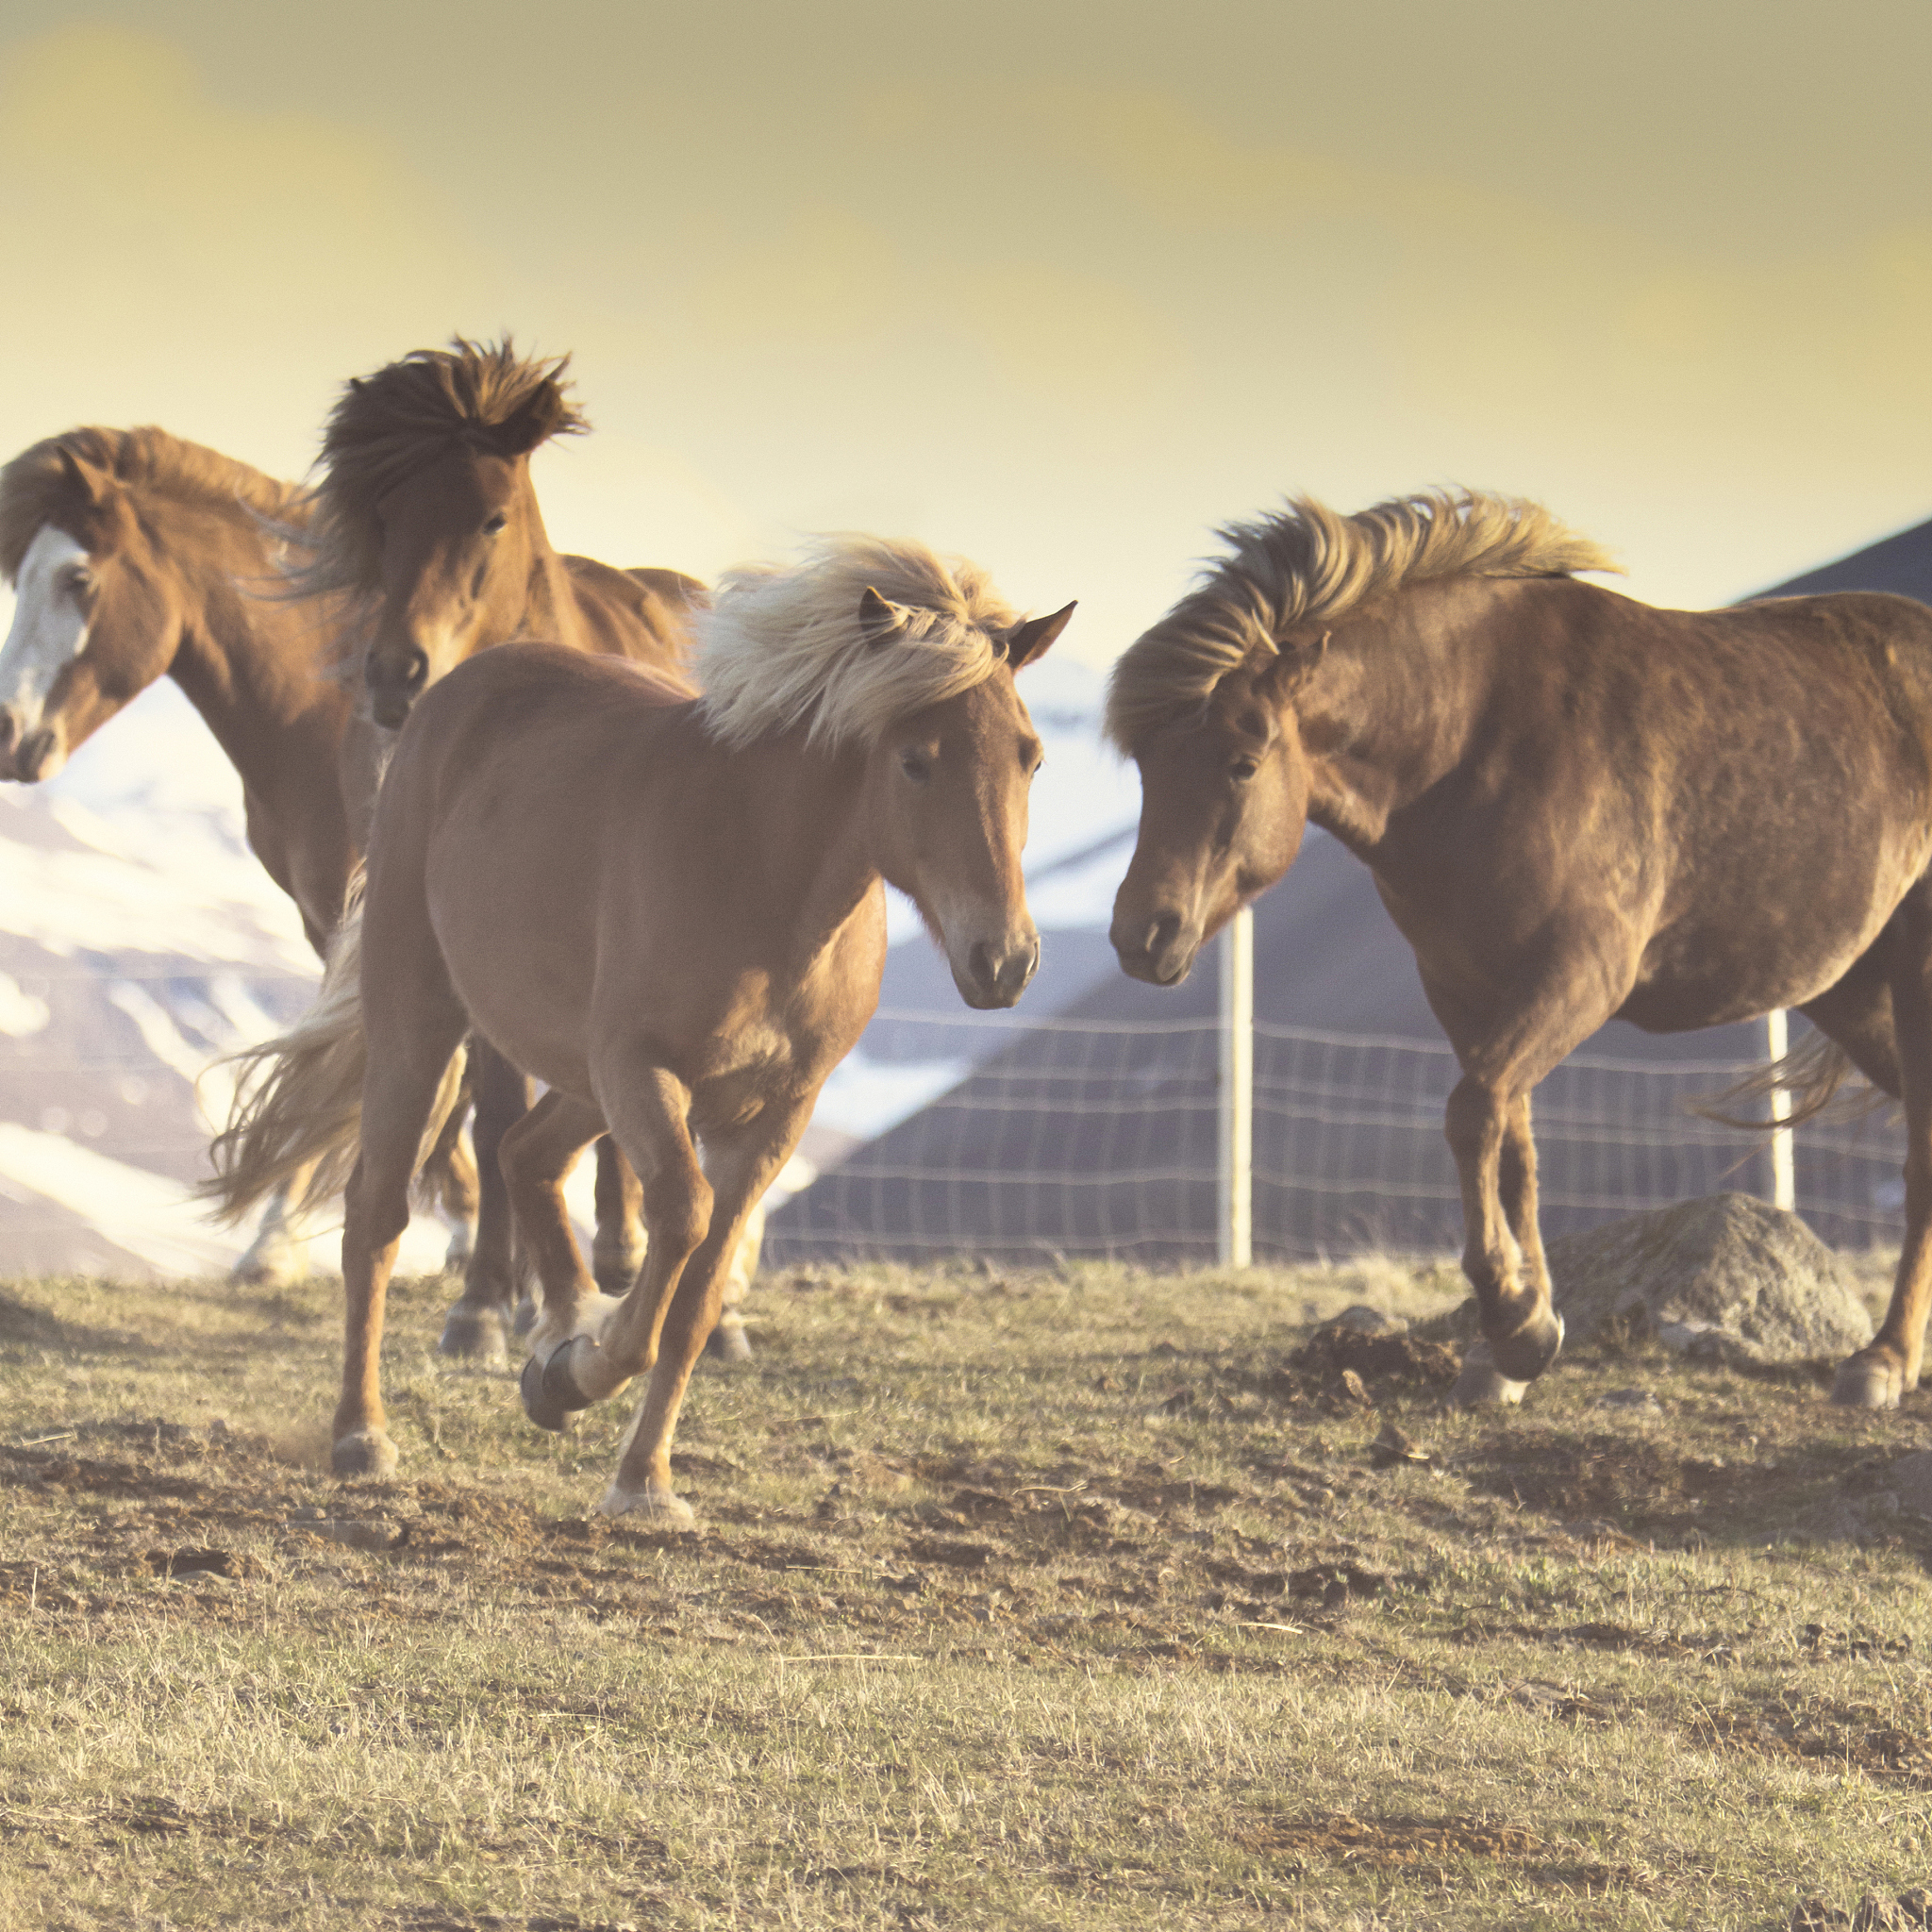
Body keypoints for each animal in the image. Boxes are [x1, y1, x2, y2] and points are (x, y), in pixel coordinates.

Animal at [206, 538, 1074, 1517]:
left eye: (1030, 759)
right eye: (916, 761)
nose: (1003, 960)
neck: (767, 878)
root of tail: (453, 694)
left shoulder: (773, 1115)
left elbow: (696, 1299)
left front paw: (638, 1474)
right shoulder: (643, 1071)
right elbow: (681, 1223)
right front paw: (582, 1371)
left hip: (579, 1079)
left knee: (524, 1155)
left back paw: (556, 1328)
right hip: (423, 1025)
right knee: (378, 1213)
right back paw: (364, 1434)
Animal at [286, 336, 715, 1362]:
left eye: (491, 516)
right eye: (385, 516)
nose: (394, 675)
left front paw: (531, 1291)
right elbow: (495, 1117)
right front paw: (488, 1300)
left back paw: (633, 1257)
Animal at [1107, 488, 1932, 1411]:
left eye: (1243, 763)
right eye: (1145, 764)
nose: (1141, 935)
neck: (1478, 738)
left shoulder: (1580, 976)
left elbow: (1473, 1114)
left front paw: (1514, 1320)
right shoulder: (1467, 990)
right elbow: (1513, 1148)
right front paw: (1519, 1338)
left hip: (1914, 973)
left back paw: (1884, 1361)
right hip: (1853, 991)